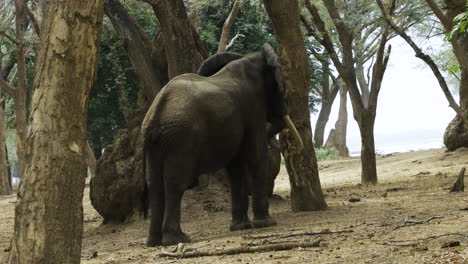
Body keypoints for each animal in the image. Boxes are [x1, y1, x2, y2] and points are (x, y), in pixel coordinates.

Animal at [141, 42, 302, 246]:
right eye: (281, 88)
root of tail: (157, 112)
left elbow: (235, 167)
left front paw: (241, 227)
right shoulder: (253, 108)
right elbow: (255, 155)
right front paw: (267, 224)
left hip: (153, 143)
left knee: (154, 185)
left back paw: (153, 242)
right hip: (181, 140)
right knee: (176, 183)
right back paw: (178, 239)